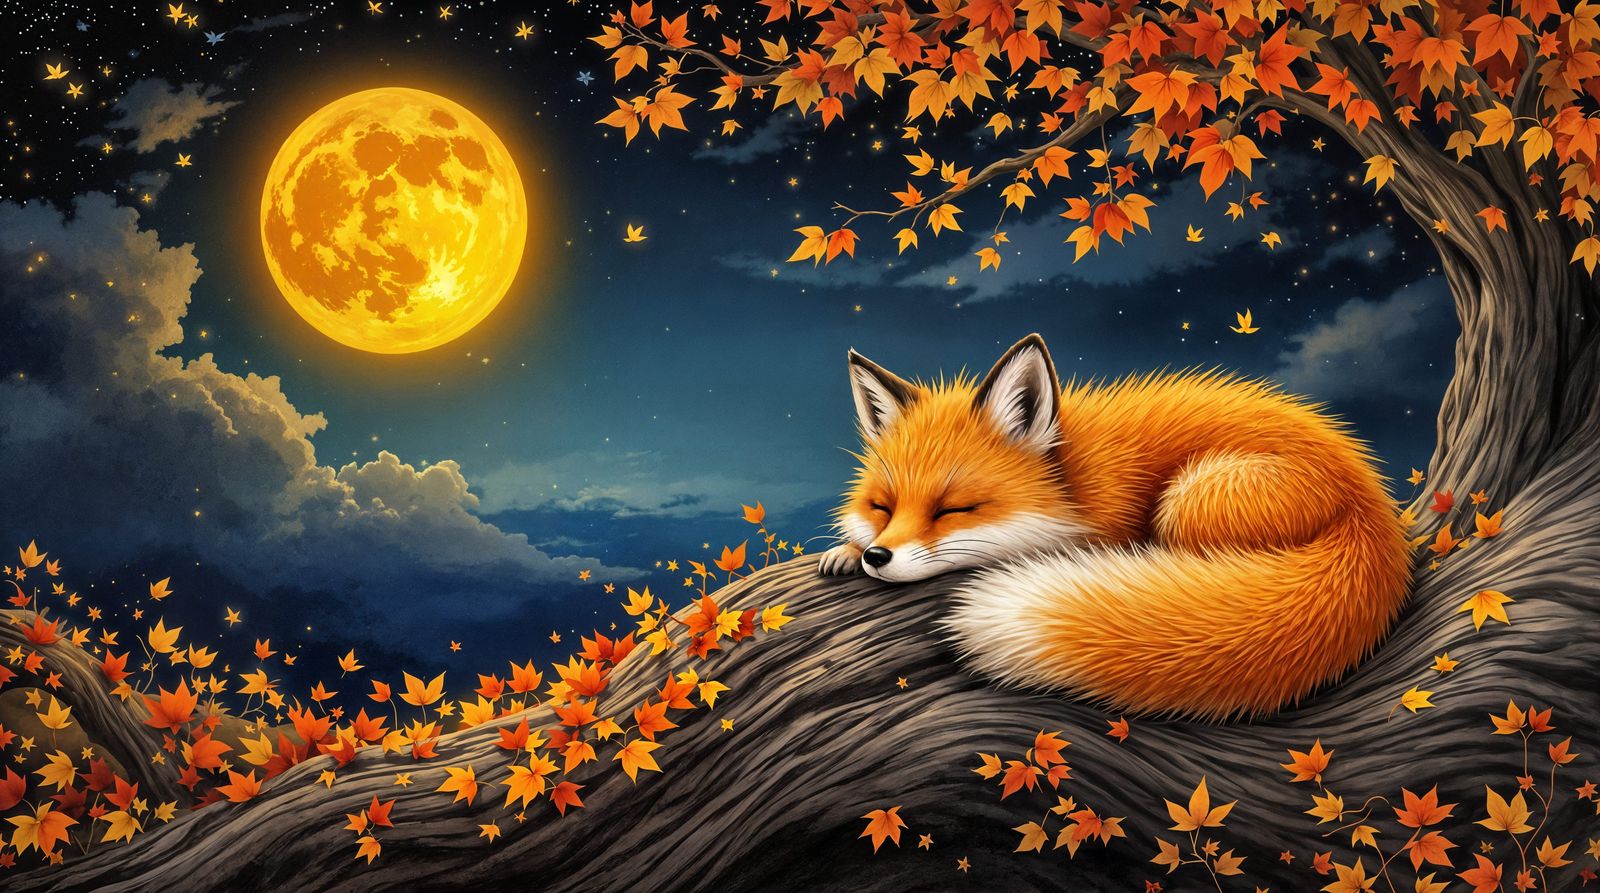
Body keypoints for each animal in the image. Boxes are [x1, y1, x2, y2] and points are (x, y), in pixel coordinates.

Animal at [819, 333, 1413, 720]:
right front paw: (846, 550)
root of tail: (1372, 509)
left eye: (952, 510)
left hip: (1191, 496)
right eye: (882, 506)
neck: (1080, 481)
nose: (878, 558)